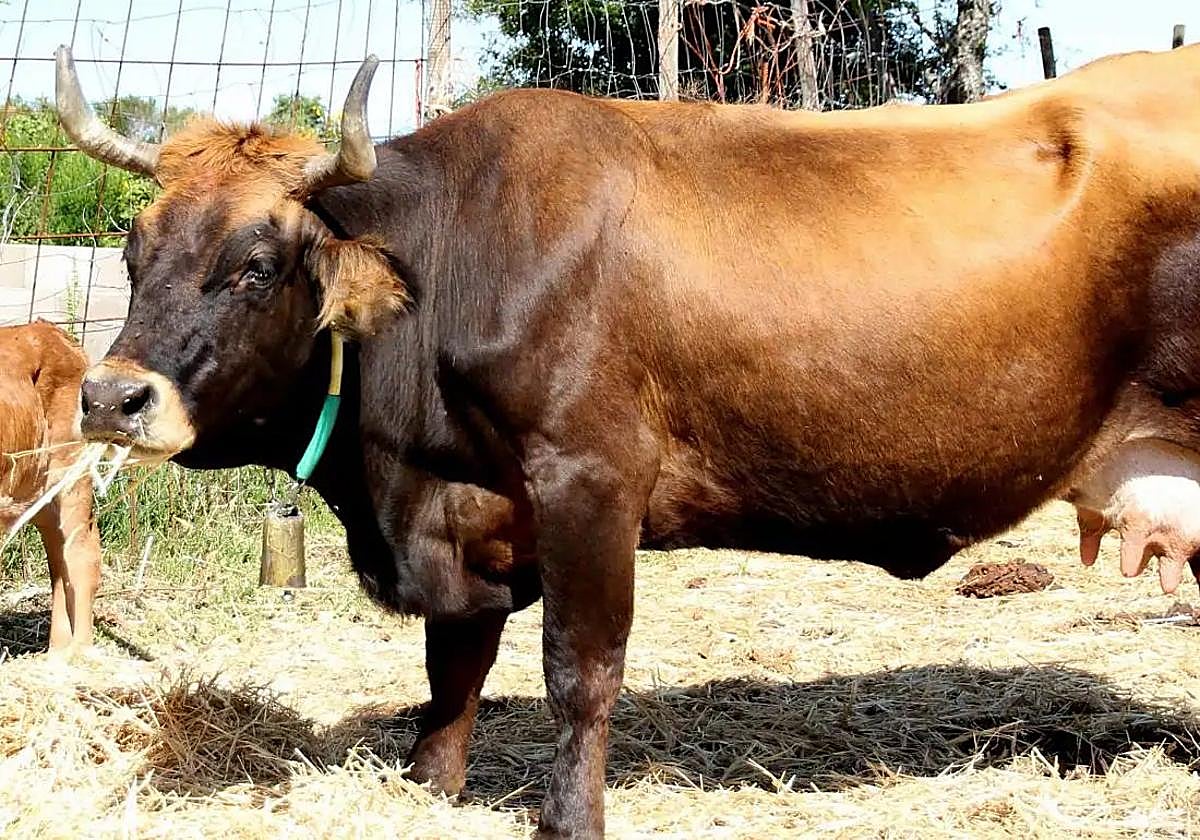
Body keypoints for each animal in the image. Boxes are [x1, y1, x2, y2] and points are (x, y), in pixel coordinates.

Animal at [1, 319, 100, 653]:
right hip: (38, 491)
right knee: (59, 557)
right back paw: (57, 648)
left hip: (72, 471)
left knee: (83, 552)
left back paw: (79, 651)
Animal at [55, 42, 1200, 837]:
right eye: (134, 250)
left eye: (257, 265)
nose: (110, 398)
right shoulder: (476, 512)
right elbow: (452, 668)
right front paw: (430, 786)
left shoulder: (591, 477)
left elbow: (580, 668)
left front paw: (570, 816)